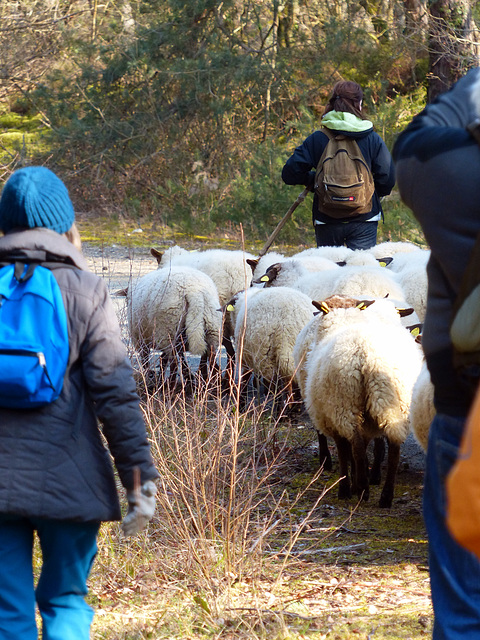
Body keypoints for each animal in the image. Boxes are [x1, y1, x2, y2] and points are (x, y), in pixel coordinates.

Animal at [294, 296, 422, 510]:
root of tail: (367, 355)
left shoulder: (331, 416)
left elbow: (344, 450)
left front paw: (349, 486)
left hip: (344, 403)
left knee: (357, 446)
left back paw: (360, 490)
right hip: (394, 403)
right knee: (394, 447)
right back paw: (385, 496)